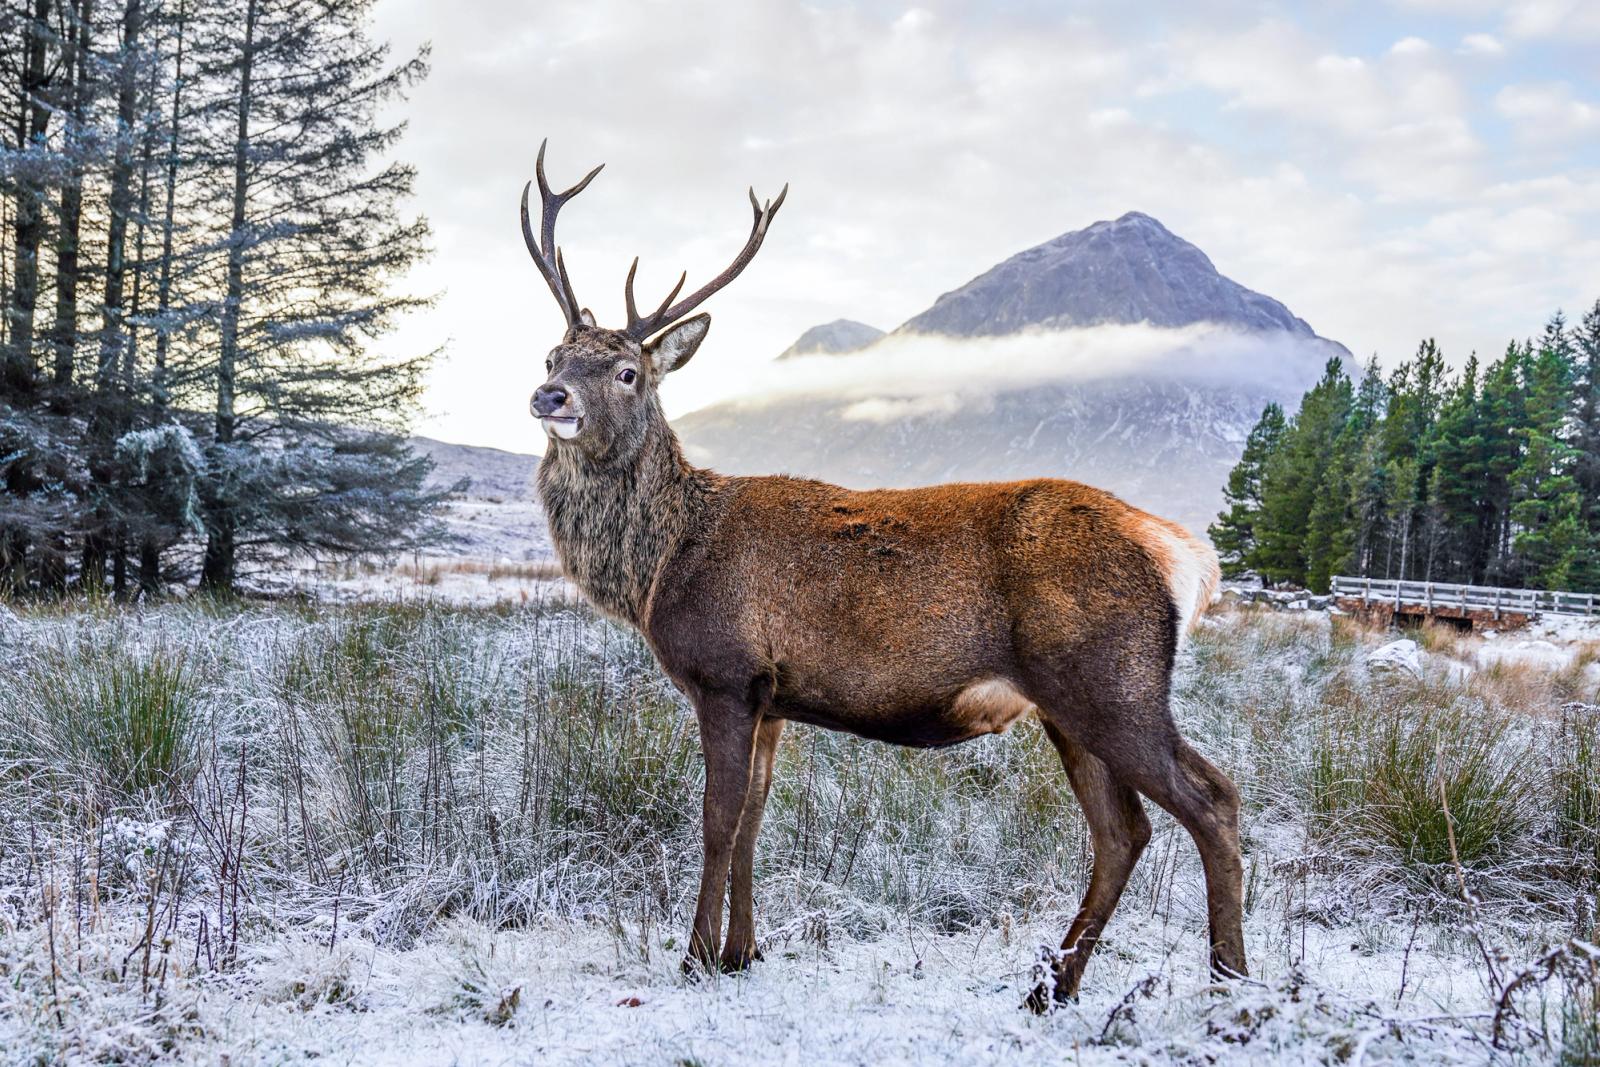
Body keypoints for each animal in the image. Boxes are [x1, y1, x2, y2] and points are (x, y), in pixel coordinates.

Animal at [520, 141, 1246, 1010]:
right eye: (554, 353)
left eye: (629, 371)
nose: (550, 394)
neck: (659, 564)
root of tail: (1182, 552)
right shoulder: (772, 697)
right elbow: (754, 818)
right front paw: (743, 952)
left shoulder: (725, 672)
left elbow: (717, 818)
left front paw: (694, 957)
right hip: (1071, 704)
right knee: (1122, 829)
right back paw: (1052, 986)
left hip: (1112, 680)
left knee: (1212, 799)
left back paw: (1230, 984)